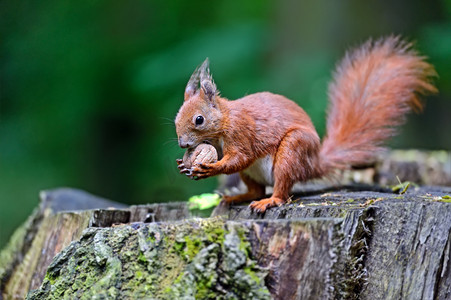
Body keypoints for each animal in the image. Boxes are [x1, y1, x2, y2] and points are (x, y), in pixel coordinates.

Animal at [175, 35, 436, 213]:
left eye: (199, 119)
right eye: (176, 120)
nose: (182, 144)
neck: (224, 120)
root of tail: (315, 163)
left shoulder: (240, 133)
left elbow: (240, 157)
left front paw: (210, 168)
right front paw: (184, 165)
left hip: (293, 150)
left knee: (281, 190)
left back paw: (270, 201)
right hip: (252, 174)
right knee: (256, 190)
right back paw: (236, 197)